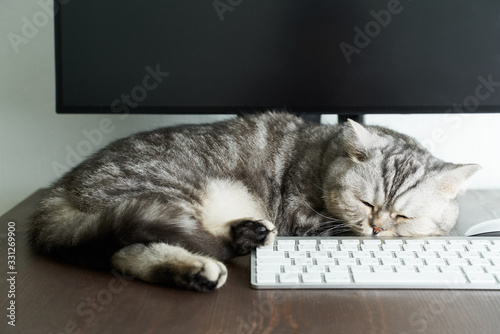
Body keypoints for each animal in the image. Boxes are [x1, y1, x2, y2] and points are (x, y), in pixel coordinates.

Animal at [28, 112, 480, 290]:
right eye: (367, 205)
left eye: (402, 215)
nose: (377, 228)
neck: (326, 154)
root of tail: (58, 189)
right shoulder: (301, 216)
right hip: (170, 192)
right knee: (138, 248)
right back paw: (204, 264)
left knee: (124, 256)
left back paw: (232, 245)